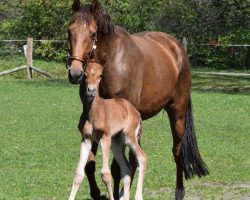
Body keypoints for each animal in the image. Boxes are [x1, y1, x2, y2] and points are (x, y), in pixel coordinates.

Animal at [68, 61, 147, 200]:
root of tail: (136, 112)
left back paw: (138, 196)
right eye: (85, 75)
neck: (94, 113)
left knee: (142, 158)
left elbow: (105, 174)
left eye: (100, 75)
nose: (91, 91)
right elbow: (78, 174)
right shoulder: (86, 139)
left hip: (129, 137)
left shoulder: (105, 137)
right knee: (126, 168)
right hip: (116, 142)